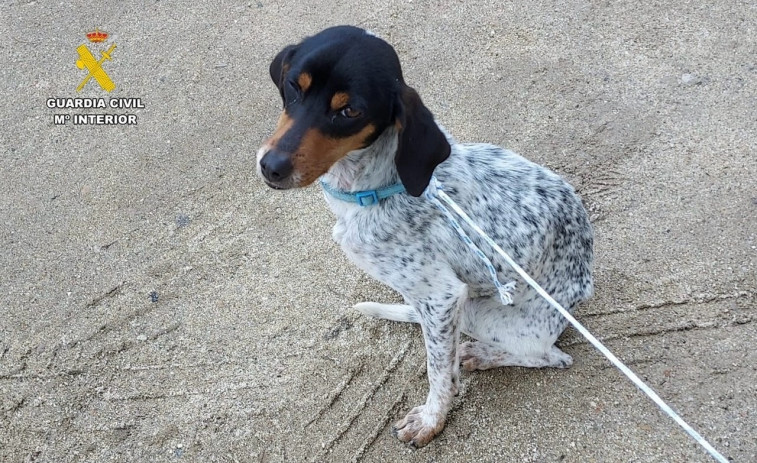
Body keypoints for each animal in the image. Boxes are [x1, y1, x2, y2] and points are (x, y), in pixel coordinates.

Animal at [256, 26, 592, 450]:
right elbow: (439, 357)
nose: (271, 167)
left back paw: (487, 354)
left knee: (550, 356)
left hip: (489, 315)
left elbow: (438, 373)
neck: (375, 186)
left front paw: (432, 419)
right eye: (292, 86)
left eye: (350, 112)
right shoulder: (433, 303)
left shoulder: (442, 296)